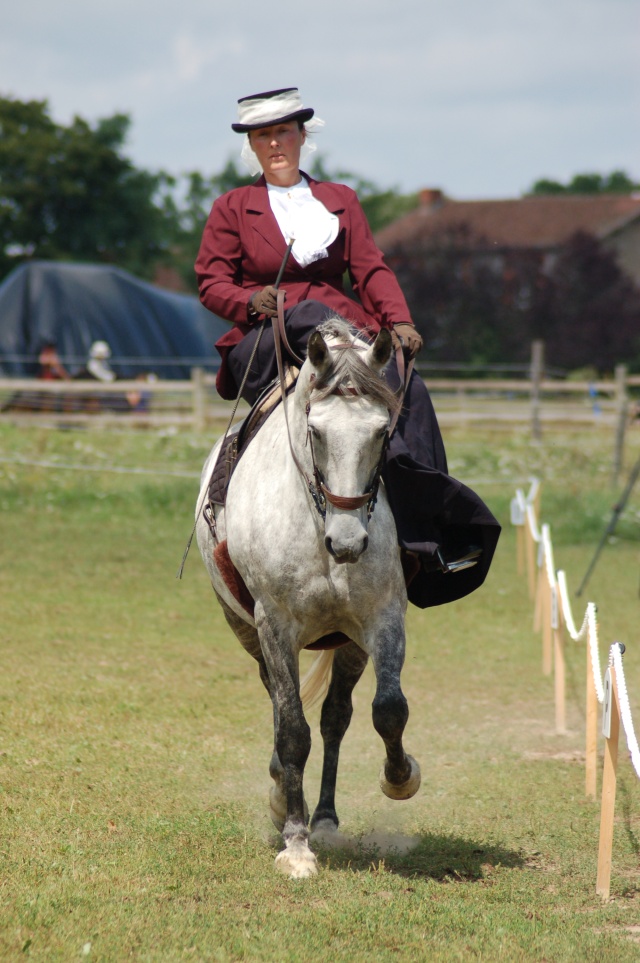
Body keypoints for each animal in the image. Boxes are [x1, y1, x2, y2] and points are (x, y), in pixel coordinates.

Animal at [198, 320, 422, 876]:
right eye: (315, 431)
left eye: (382, 431)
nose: (348, 543)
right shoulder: (274, 627)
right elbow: (292, 730)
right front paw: (295, 844)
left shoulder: (380, 620)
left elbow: (388, 709)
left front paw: (400, 776)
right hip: (250, 633)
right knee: (284, 710)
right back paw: (286, 801)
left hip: (347, 643)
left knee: (336, 718)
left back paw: (323, 818)